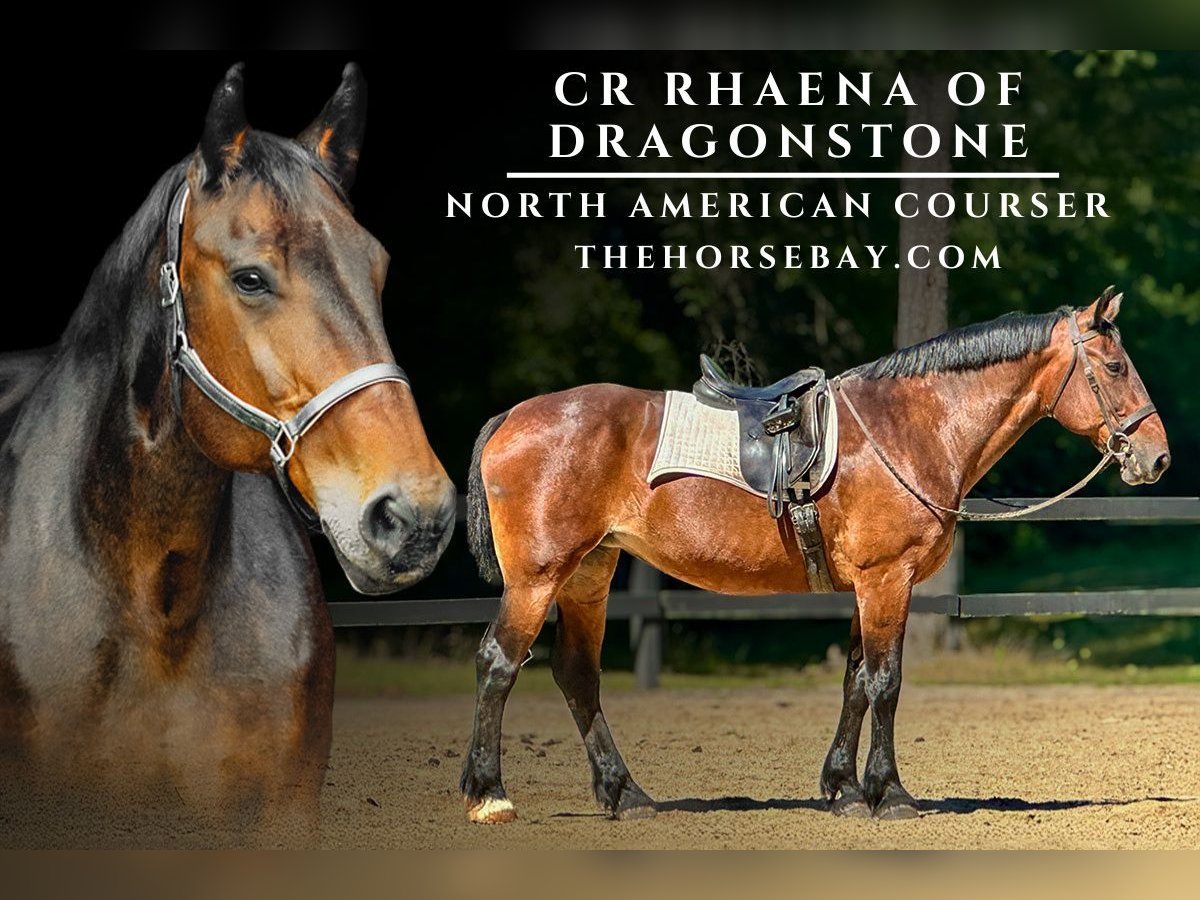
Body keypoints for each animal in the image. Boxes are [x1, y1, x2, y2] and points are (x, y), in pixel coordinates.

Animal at [460, 294, 1171, 825]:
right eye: (1114, 367)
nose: (1157, 456)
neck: (910, 426)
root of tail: (511, 418)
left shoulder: (869, 585)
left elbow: (856, 681)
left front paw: (847, 789)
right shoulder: (888, 579)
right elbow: (886, 683)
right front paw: (893, 794)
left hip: (589, 575)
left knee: (578, 676)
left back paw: (625, 794)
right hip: (539, 578)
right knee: (499, 663)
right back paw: (490, 794)